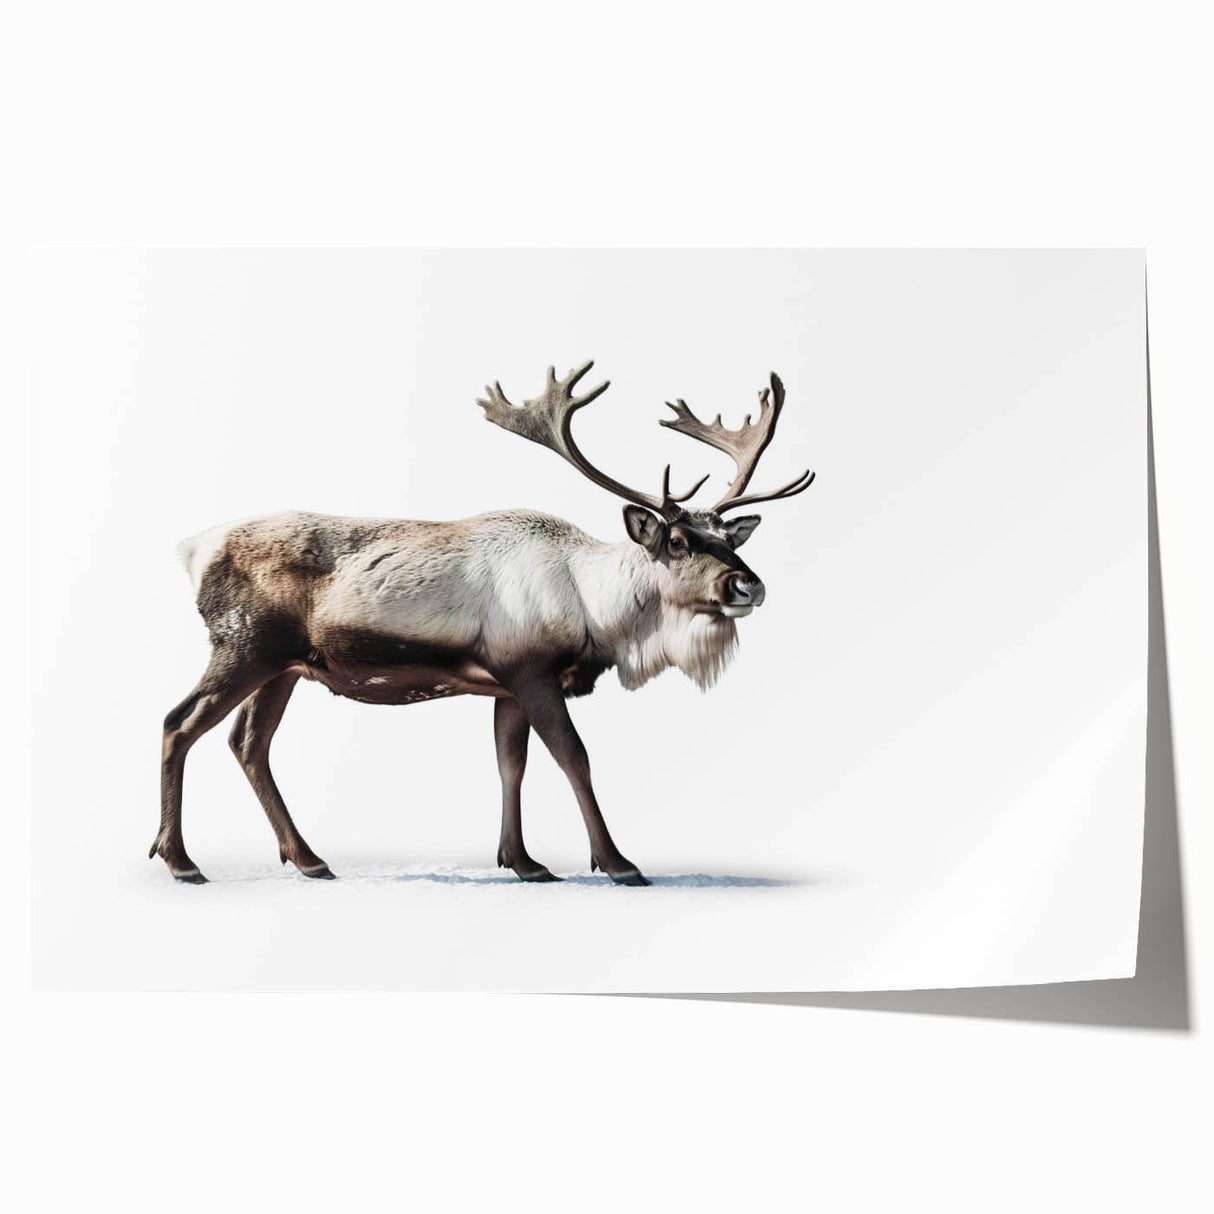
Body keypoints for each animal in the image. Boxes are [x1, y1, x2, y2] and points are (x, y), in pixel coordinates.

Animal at [153, 362, 814, 886]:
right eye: (677, 541)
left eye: (729, 538)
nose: (747, 585)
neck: (595, 612)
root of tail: (191, 550)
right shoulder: (531, 671)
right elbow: (574, 757)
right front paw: (619, 863)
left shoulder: (506, 686)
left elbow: (509, 763)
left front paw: (524, 862)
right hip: (243, 646)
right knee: (178, 722)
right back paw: (183, 862)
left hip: (284, 667)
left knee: (249, 742)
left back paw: (309, 859)